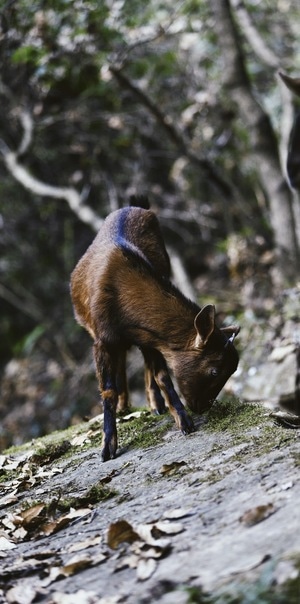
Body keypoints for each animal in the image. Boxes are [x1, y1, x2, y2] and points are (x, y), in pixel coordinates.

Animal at [70, 201, 239, 460]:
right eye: (214, 370)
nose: (204, 406)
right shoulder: (102, 339)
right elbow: (107, 390)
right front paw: (108, 446)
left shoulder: (149, 336)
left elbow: (162, 375)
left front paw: (183, 421)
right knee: (122, 361)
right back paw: (125, 406)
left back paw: (155, 405)